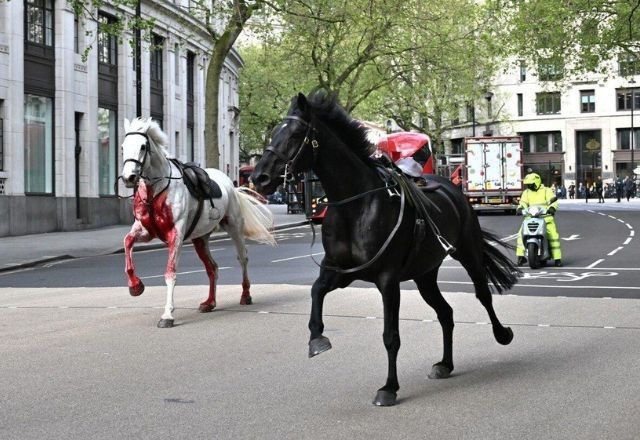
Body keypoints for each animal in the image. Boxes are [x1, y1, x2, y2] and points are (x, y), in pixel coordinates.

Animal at [120, 117, 276, 326]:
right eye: (122, 146)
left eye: (143, 146)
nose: (128, 178)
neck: (157, 190)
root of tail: (231, 185)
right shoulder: (146, 231)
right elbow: (127, 242)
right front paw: (135, 286)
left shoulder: (175, 234)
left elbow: (170, 273)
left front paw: (167, 315)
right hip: (200, 238)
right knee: (212, 267)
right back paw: (209, 302)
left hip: (234, 227)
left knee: (242, 258)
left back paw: (245, 295)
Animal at [250, 91, 520, 408]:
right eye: (274, 133)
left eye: (293, 134)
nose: (259, 178)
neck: (355, 205)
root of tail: (452, 187)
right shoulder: (340, 271)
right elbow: (316, 291)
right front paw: (317, 339)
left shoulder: (387, 279)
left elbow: (391, 335)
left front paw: (389, 388)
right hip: (424, 274)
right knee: (446, 312)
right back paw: (445, 364)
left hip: (468, 252)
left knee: (482, 294)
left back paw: (502, 334)